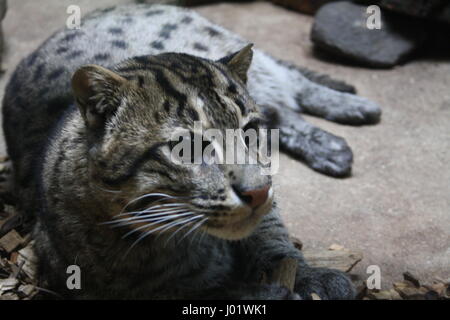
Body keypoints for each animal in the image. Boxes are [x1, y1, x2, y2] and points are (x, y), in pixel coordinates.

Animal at [0, 3, 376, 298]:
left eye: (250, 133)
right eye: (185, 148)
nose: (258, 192)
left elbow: (271, 234)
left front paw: (305, 275)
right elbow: (185, 290)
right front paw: (260, 290)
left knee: (288, 86)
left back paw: (352, 108)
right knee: (284, 108)